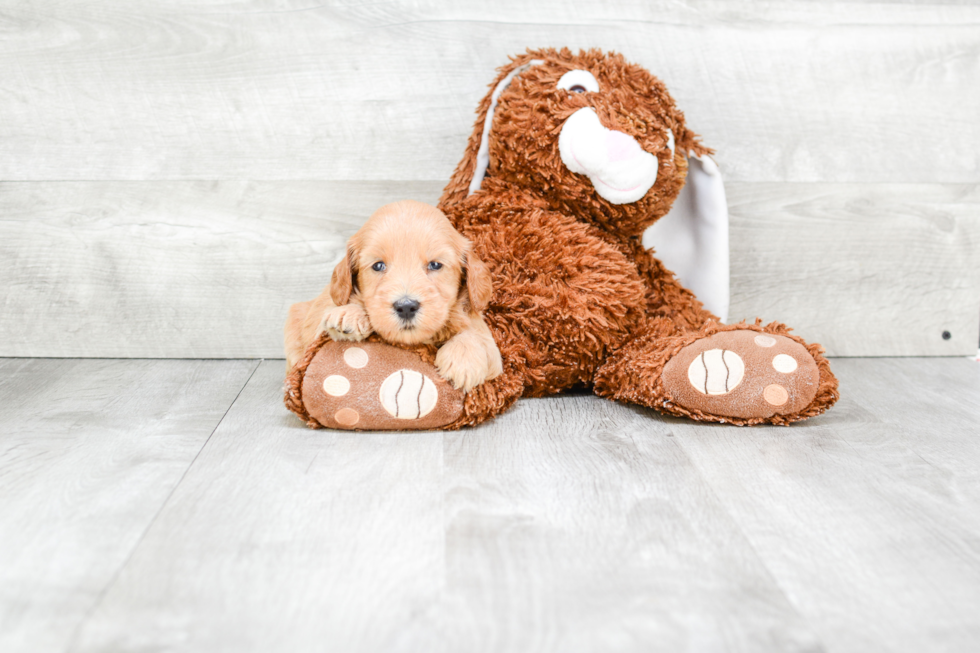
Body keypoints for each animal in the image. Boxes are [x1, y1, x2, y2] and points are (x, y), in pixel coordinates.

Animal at [282, 199, 498, 390]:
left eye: (435, 265)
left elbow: (476, 334)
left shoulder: (491, 350)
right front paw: (349, 314)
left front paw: (464, 360)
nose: (406, 307)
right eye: (378, 266)